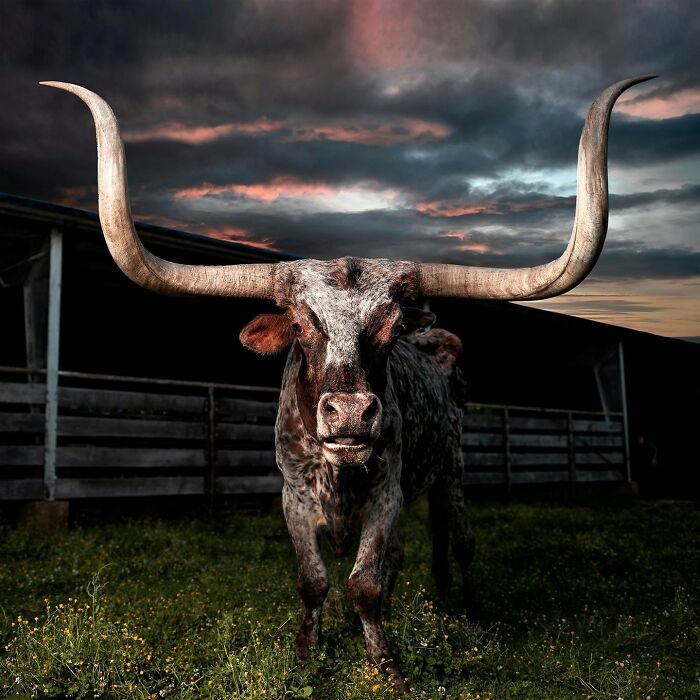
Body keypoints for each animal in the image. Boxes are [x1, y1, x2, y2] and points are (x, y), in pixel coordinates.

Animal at [42, 75, 652, 692]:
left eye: (391, 326)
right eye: (300, 325)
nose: (352, 414)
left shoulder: (386, 492)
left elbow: (365, 583)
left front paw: (386, 665)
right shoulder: (293, 495)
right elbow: (315, 581)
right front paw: (308, 652)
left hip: (453, 468)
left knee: (459, 539)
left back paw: (473, 612)